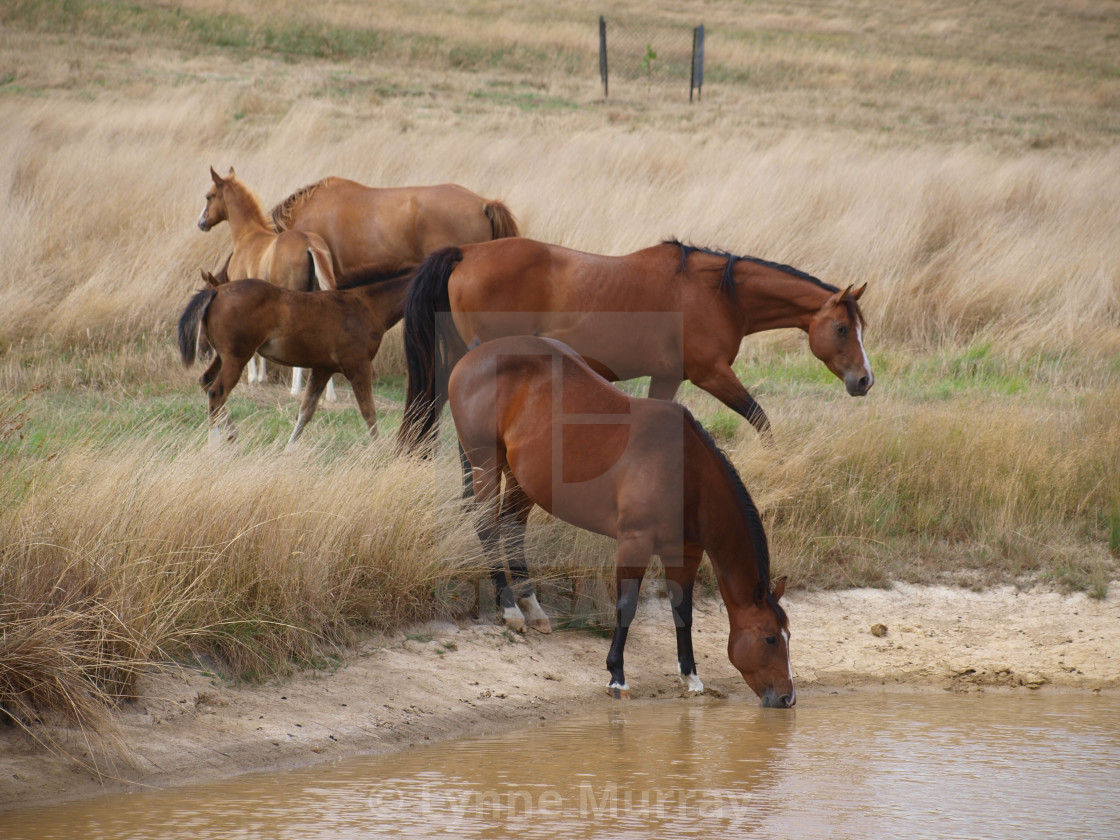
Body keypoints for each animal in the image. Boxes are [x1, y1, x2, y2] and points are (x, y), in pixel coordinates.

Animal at [197, 169, 338, 398]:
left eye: (209, 196)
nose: (202, 223)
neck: (248, 236)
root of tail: (309, 244)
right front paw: (262, 377)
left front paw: (253, 377)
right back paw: (330, 395)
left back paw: (295, 389)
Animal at [398, 237, 869, 454]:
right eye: (842, 329)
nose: (864, 380)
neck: (718, 294)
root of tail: (467, 252)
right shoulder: (711, 374)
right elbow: (760, 419)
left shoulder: (666, 376)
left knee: (429, 405)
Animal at [448, 336, 797, 712]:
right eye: (770, 638)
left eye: (788, 636)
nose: (787, 698)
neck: (686, 472)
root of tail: (474, 354)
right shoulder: (634, 542)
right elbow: (626, 607)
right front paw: (617, 676)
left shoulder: (686, 553)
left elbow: (683, 611)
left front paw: (690, 677)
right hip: (486, 463)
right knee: (488, 527)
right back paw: (510, 607)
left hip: (522, 478)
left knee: (513, 527)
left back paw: (532, 605)